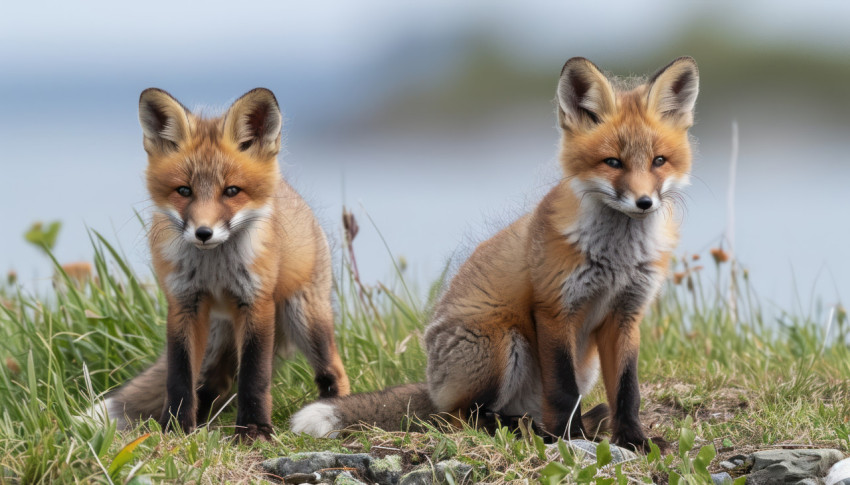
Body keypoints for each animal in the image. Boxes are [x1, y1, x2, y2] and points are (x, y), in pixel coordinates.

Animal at [89, 89, 348, 440]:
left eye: (232, 191)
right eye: (184, 190)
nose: (203, 233)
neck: (215, 271)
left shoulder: (256, 304)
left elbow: (255, 377)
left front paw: (254, 430)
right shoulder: (184, 305)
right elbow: (179, 378)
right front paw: (176, 428)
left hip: (305, 318)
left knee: (333, 370)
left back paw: (338, 409)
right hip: (217, 340)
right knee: (211, 384)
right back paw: (200, 423)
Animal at [292, 56, 696, 450]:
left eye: (659, 161)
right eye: (613, 162)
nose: (644, 203)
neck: (617, 259)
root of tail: (433, 386)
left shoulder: (626, 315)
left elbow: (628, 393)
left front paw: (634, 441)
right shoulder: (554, 309)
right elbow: (563, 392)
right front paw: (571, 439)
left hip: (582, 364)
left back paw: (540, 426)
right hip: (502, 339)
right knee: (460, 417)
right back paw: (522, 429)